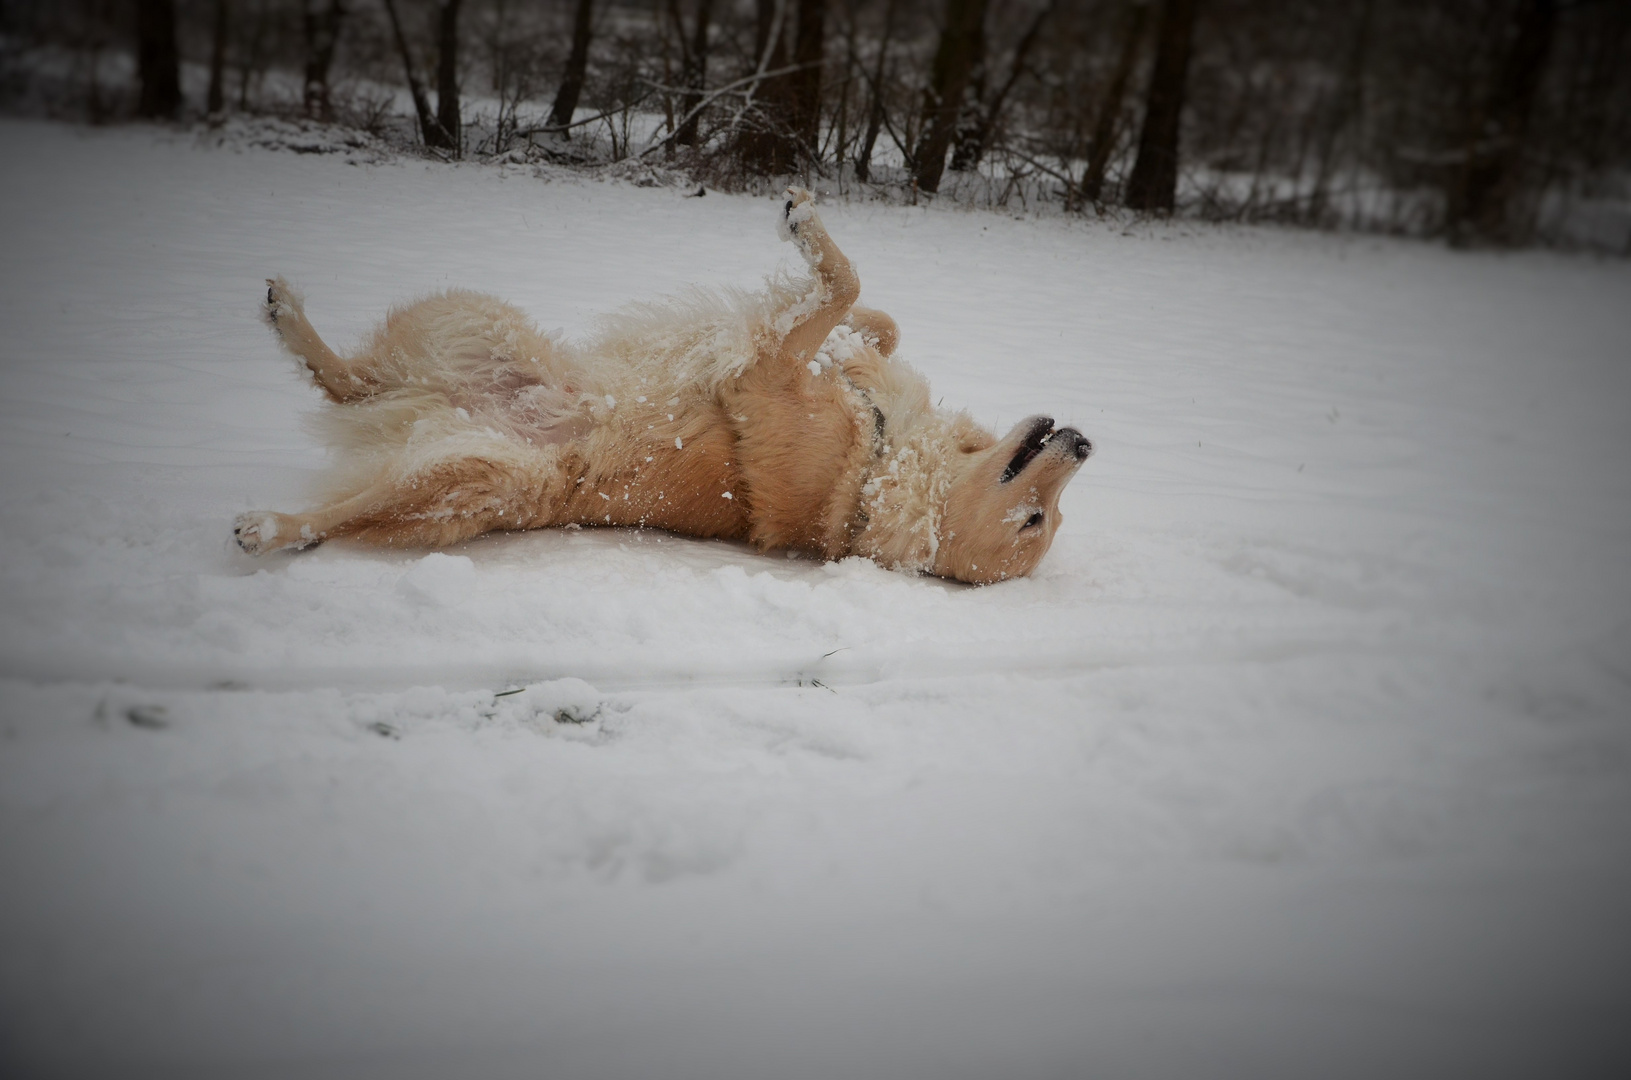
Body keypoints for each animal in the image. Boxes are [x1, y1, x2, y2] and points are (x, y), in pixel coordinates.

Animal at [233, 190, 1096, 587]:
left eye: (1033, 521)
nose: (1085, 442)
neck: (881, 458)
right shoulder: (800, 363)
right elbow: (871, 316)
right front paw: (848, 340)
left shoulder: (761, 372)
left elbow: (844, 285)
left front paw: (809, 240)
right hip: (475, 324)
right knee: (347, 382)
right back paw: (288, 318)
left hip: (475, 475)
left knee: (350, 504)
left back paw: (275, 526)